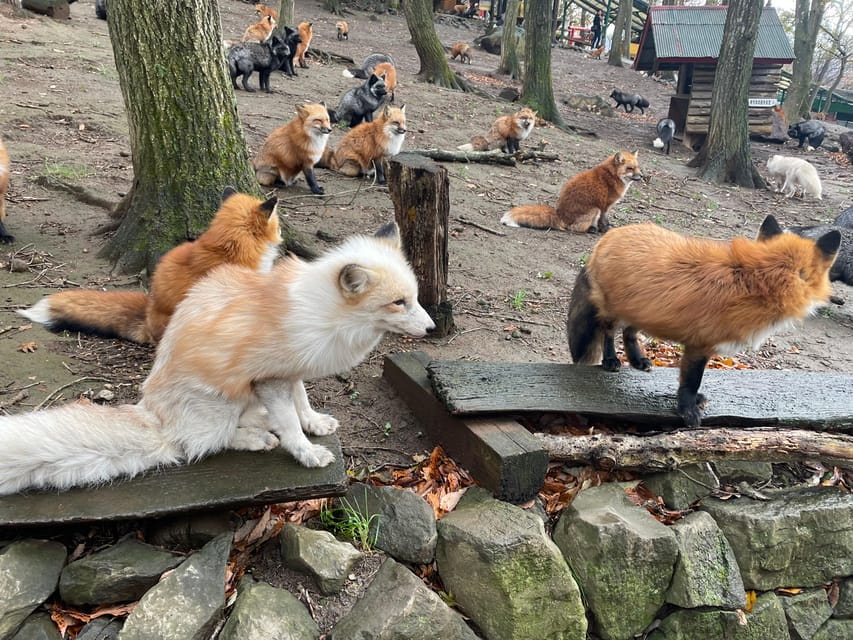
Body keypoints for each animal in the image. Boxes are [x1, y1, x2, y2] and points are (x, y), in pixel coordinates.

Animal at [0, 223, 435, 496]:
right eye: (399, 303)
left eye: (414, 298)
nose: (432, 328)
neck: (322, 315)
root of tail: (154, 415)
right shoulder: (269, 377)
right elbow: (290, 425)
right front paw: (307, 453)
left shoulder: (290, 371)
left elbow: (302, 402)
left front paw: (314, 423)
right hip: (226, 401)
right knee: (202, 444)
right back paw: (257, 438)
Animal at [502, 151, 642, 232]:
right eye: (630, 168)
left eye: (638, 167)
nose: (641, 176)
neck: (612, 175)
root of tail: (560, 214)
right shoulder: (604, 206)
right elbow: (604, 221)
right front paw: (606, 230)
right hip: (594, 210)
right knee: (574, 228)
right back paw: (591, 230)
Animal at [566, 216, 841, 428]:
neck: (753, 280)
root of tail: (610, 236)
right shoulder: (700, 345)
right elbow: (690, 381)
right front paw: (688, 410)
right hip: (615, 312)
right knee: (608, 332)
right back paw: (611, 360)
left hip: (645, 310)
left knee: (630, 333)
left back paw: (638, 360)